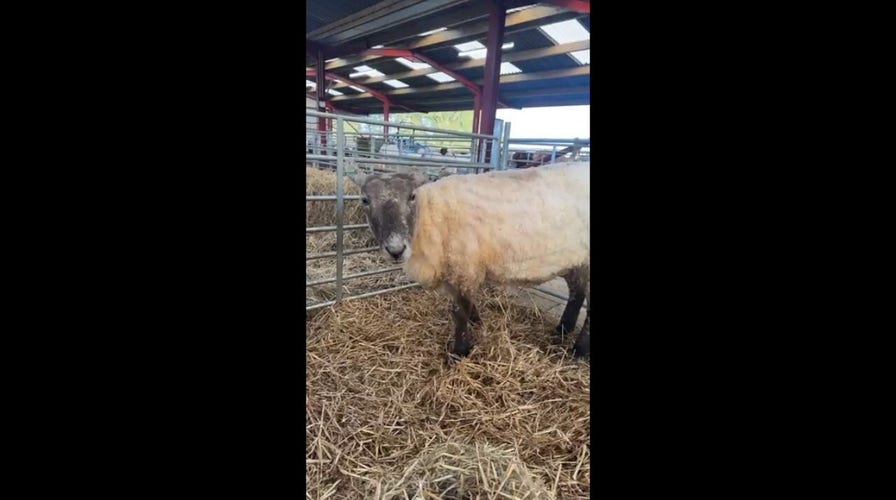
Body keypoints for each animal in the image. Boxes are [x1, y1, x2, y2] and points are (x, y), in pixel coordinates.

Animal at [349, 161, 591, 360]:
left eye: (412, 196)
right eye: (365, 200)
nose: (396, 250)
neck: (430, 217)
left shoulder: (464, 268)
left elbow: (459, 312)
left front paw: (460, 352)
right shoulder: (455, 272)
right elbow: (467, 307)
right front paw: (478, 324)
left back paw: (579, 351)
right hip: (576, 262)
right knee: (576, 294)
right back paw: (562, 329)